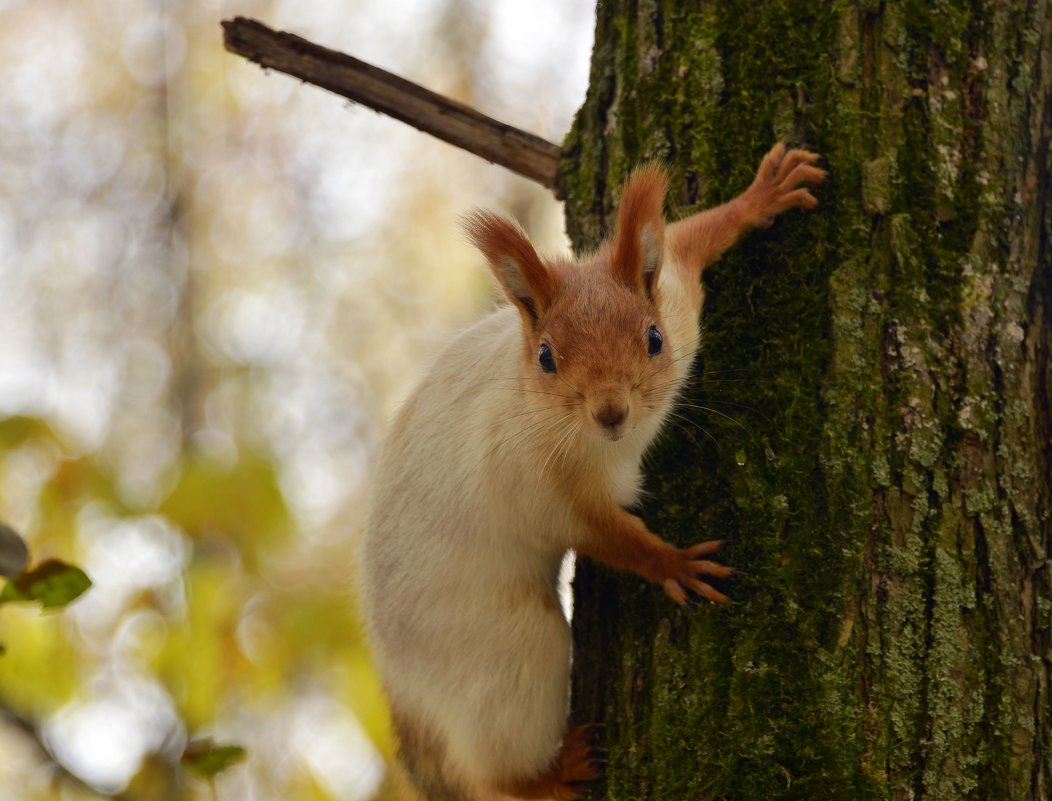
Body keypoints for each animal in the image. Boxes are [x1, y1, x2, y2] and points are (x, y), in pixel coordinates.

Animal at [357, 145, 824, 799]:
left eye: (653, 338)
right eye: (547, 358)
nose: (610, 412)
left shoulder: (677, 295)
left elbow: (686, 240)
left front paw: (761, 196)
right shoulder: (542, 490)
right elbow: (608, 536)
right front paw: (674, 564)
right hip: (513, 655)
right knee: (498, 775)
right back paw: (556, 773)